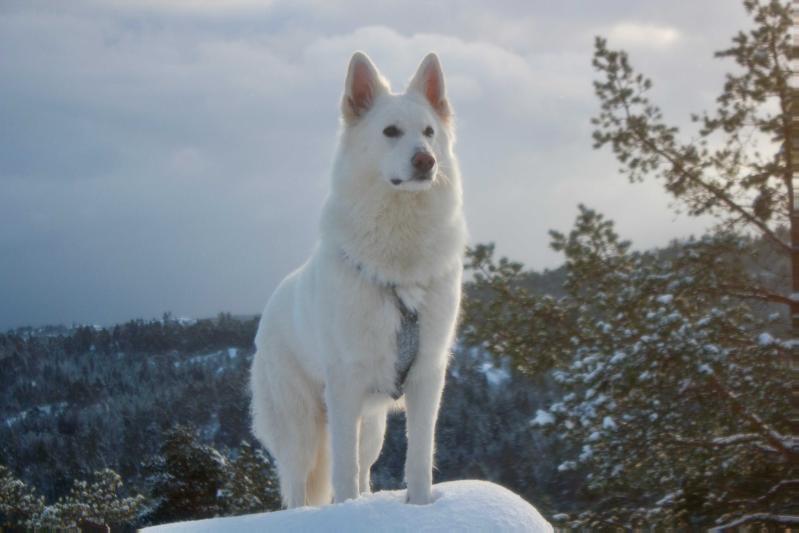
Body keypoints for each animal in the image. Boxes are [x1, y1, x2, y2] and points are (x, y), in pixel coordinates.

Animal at [252, 52, 468, 510]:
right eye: (390, 132)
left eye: (429, 132)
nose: (426, 161)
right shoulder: (344, 384)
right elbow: (343, 470)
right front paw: (347, 512)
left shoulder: (427, 376)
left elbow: (419, 457)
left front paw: (421, 507)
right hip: (301, 425)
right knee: (297, 482)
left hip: (373, 425)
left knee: (365, 463)